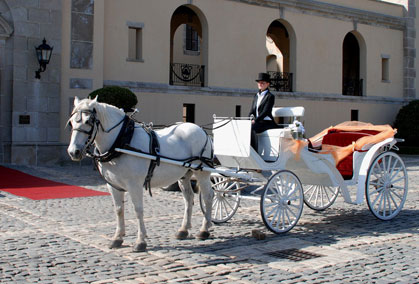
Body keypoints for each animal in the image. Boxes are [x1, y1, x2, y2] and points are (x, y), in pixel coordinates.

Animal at [68, 96, 215, 252]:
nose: (73, 152)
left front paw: (140, 241)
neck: (121, 141)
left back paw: (204, 229)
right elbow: (119, 210)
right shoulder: (112, 185)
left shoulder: (134, 184)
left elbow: (138, 210)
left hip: (202, 172)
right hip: (184, 174)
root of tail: (201, 130)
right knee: (188, 198)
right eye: (71, 122)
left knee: (208, 196)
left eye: (88, 121)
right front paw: (117, 238)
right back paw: (184, 229)